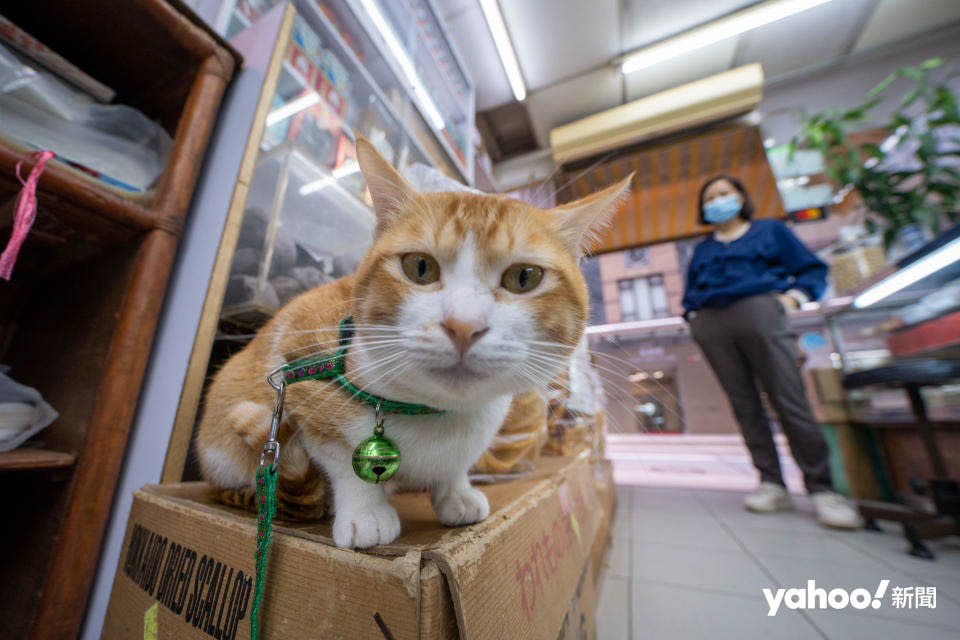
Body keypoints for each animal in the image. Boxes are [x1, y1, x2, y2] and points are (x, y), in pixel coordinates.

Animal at [196, 138, 632, 548]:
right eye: (419, 267)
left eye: (524, 277)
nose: (463, 326)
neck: (437, 413)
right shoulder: (302, 373)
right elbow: (340, 460)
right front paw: (366, 511)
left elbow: (454, 469)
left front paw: (456, 493)